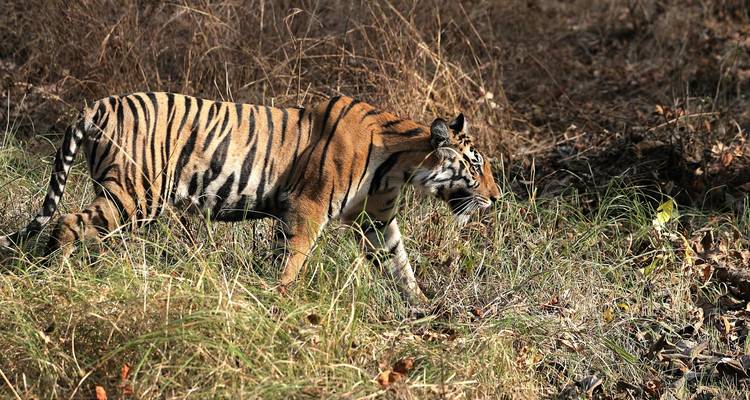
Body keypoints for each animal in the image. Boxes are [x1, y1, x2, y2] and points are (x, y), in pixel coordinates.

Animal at [0, 93, 500, 304]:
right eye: (477, 167)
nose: (497, 199)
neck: (398, 168)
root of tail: (98, 105)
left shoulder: (374, 221)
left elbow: (400, 263)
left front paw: (421, 307)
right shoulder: (306, 206)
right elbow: (293, 258)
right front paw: (281, 301)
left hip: (123, 196)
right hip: (137, 194)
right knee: (67, 223)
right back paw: (58, 274)